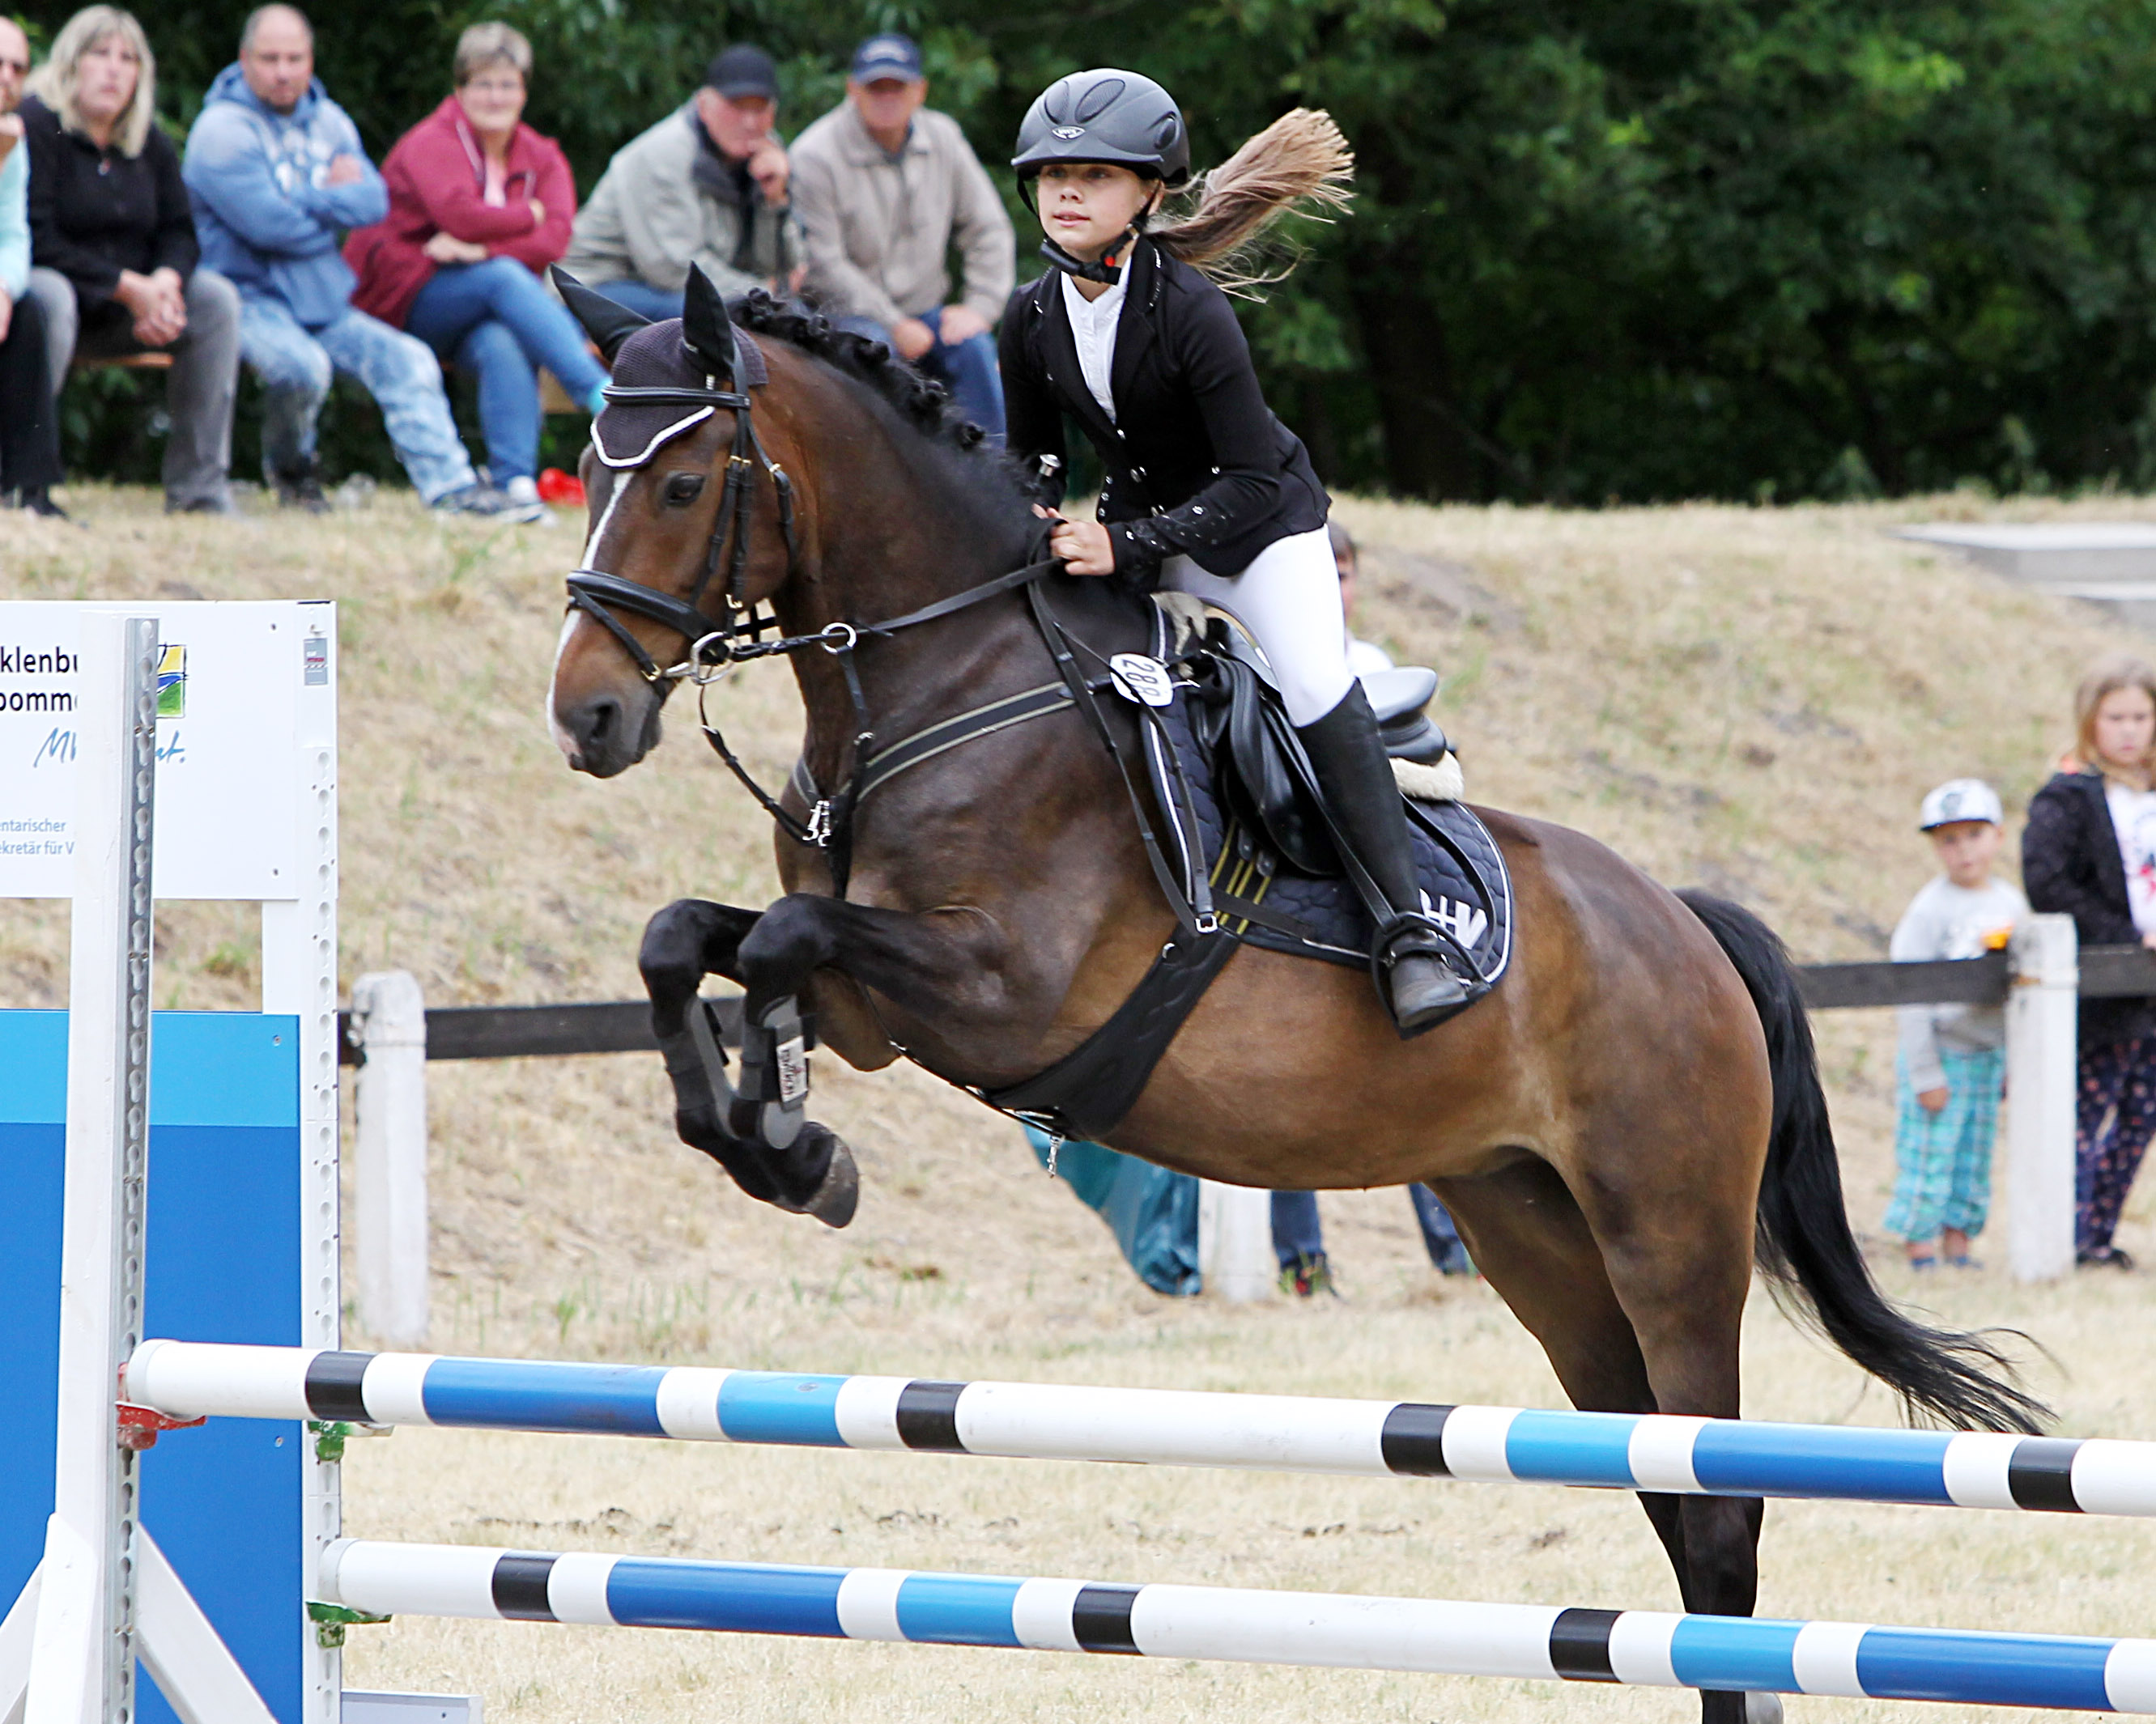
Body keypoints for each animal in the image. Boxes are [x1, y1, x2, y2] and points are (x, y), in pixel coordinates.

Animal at [544, 268, 2042, 1724]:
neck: (945, 683)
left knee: (1716, 1517)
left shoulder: (999, 990)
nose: (587, 718)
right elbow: (689, 942)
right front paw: (779, 1143)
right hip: (1532, 1235)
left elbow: (784, 939)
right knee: (1666, 1504)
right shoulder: (877, 1009)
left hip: (1666, 1236)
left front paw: (793, 1148)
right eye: (592, 466)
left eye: (681, 484)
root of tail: (1686, 927)